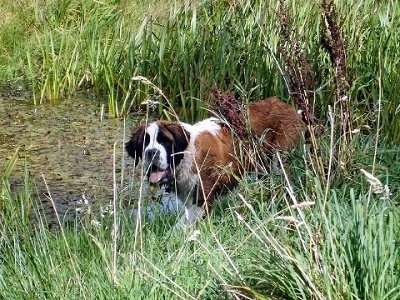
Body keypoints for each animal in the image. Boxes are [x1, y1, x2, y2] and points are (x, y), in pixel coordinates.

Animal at [126, 97, 304, 229]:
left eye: (164, 141)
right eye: (144, 143)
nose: (151, 152)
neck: (186, 155)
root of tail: (289, 108)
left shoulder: (202, 199)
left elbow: (180, 226)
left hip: (278, 162)